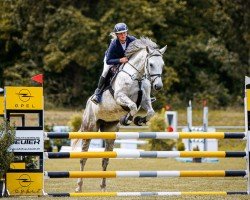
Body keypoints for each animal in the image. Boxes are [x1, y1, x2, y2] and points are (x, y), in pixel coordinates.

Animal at [75, 37, 167, 192]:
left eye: (162, 64)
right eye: (151, 64)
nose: (158, 86)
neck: (137, 77)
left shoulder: (145, 100)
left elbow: (150, 112)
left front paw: (140, 120)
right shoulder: (120, 97)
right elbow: (132, 107)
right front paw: (127, 119)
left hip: (109, 130)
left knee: (105, 160)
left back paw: (103, 187)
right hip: (89, 128)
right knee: (83, 158)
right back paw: (78, 187)